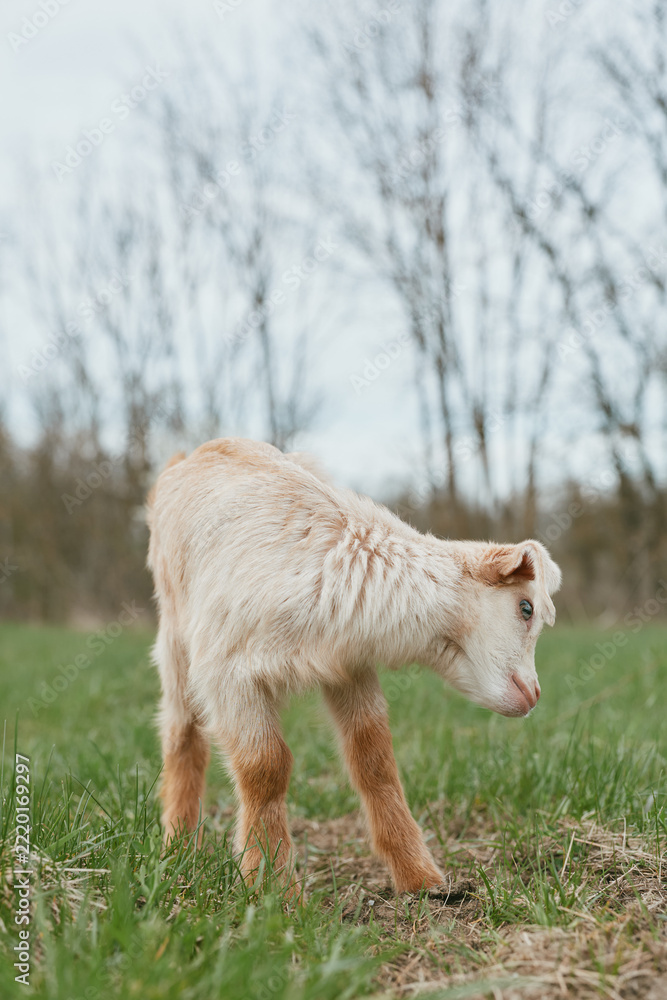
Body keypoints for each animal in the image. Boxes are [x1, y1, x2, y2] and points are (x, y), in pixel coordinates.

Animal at [147, 438, 561, 894]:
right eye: (525, 608)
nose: (534, 694)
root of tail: (194, 453)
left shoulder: (348, 666)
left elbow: (373, 760)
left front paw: (420, 878)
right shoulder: (227, 671)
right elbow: (266, 767)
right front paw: (270, 886)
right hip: (175, 634)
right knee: (182, 734)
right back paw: (178, 847)